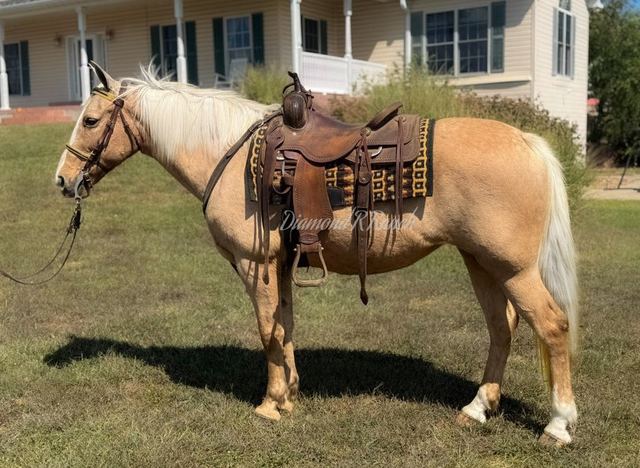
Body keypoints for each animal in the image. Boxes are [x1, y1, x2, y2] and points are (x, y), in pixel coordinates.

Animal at [54, 63, 578, 446]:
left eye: (91, 120)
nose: (62, 180)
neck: (227, 153)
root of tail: (528, 142)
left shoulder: (256, 264)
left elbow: (267, 332)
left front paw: (269, 405)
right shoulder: (280, 266)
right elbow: (285, 328)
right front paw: (290, 394)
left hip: (513, 268)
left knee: (551, 325)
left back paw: (558, 424)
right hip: (482, 262)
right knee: (502, 328)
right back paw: (477, 408)